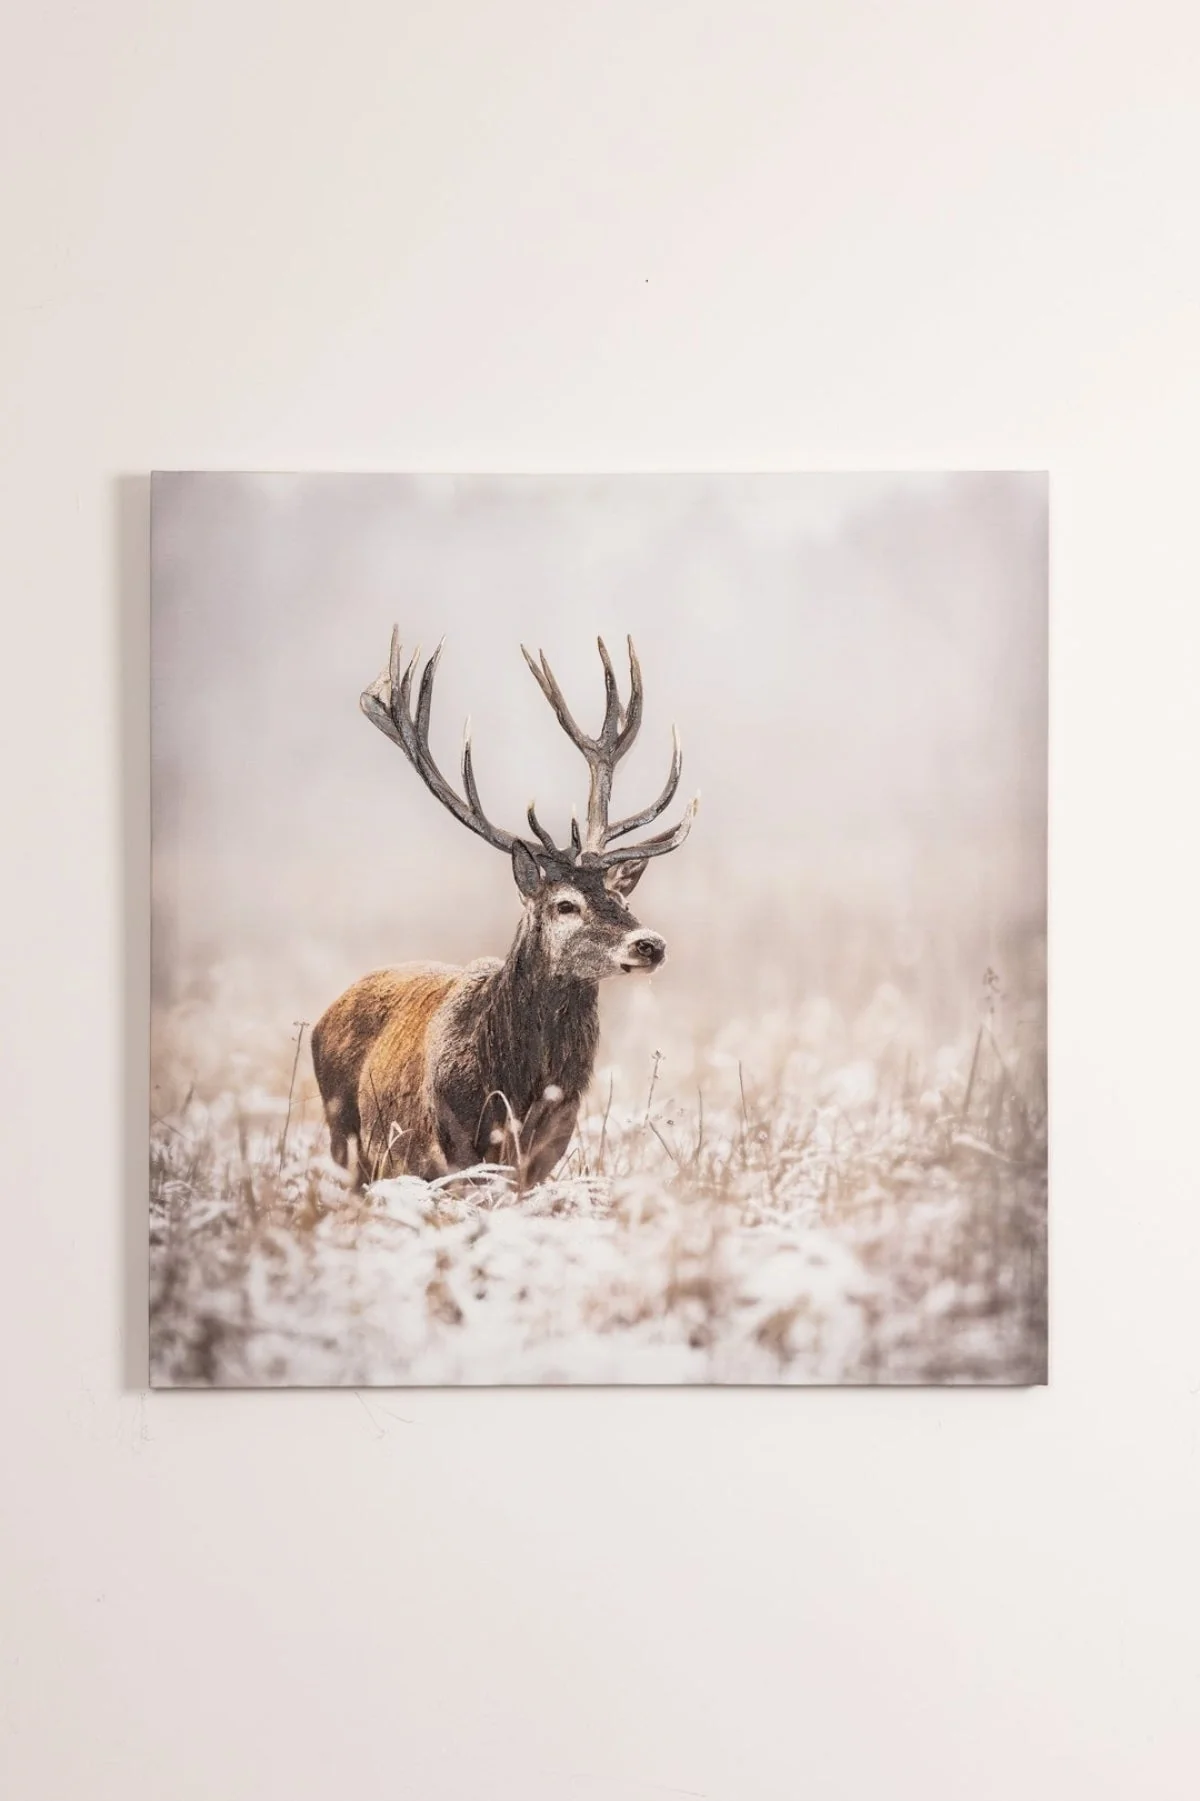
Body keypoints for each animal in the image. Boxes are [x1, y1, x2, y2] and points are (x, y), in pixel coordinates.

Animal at [310, 629, 697, 1191]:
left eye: (622, 898)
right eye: (564, 905)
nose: (650, 944)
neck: (515, 1089)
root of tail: (325, 1015)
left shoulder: (544, 1155)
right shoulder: (451, 1154)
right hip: (346, 1140)